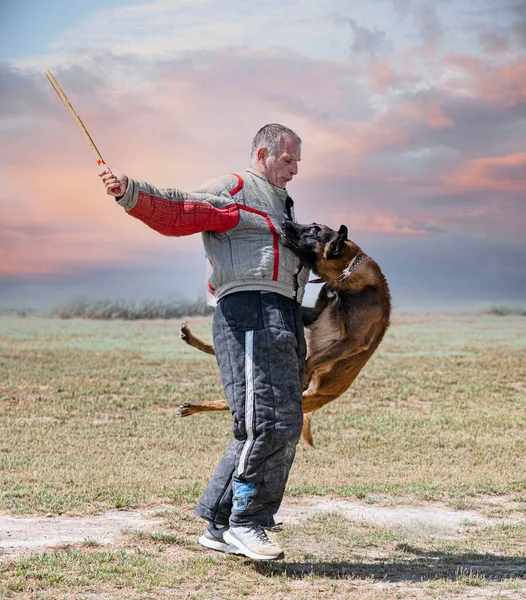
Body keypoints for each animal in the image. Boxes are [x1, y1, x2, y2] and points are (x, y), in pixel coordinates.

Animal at [177, 220, 392, 446]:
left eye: (313, 231)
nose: (284, 222)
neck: (346, 272)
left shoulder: (355, 340)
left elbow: (314, 358)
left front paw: (305, 373)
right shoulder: (315, 315)